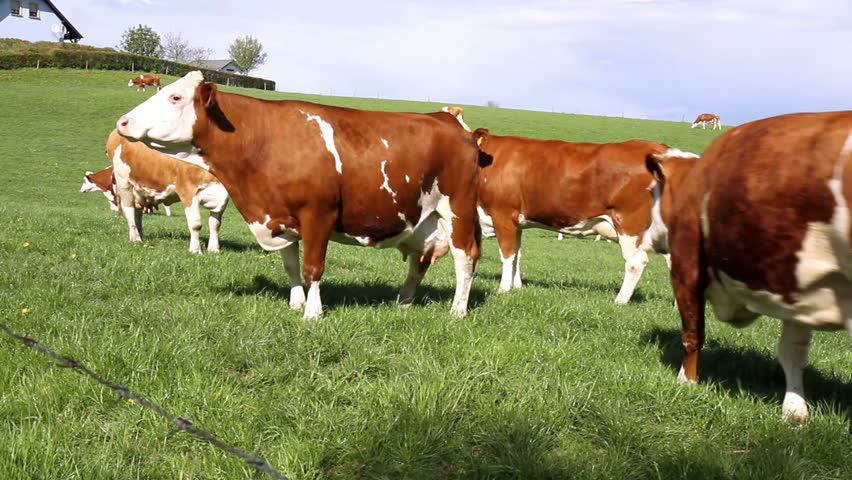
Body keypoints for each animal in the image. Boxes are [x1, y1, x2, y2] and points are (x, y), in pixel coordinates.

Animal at [115, 71, 481, 320]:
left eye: (176, 97)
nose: (123, 121)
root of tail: (449, 120)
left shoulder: (318, 214)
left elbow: (312, 267)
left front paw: (312, 313)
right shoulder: (277, 216)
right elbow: (291, 266)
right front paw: (296, 302)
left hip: (458, 208)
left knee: (465, 258)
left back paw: (458, 310)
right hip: (425, 218)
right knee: (420, 260)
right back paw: (403, 303)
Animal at [472, 128, 697, 302]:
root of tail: (662, 149)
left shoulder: (502, 215)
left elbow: (508, 255)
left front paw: (503, 289)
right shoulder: (516, 222)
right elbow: (518, 254)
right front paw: (517, 287)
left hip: (630, 223)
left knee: (636, 261)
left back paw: (620, 301)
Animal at [645, 111, 852, 422]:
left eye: (651, 193)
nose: (648, 237)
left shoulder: (686, 264)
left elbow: (693, 333)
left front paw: (686, 382)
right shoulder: (792, 279)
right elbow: (792, 351)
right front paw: (794, 409)